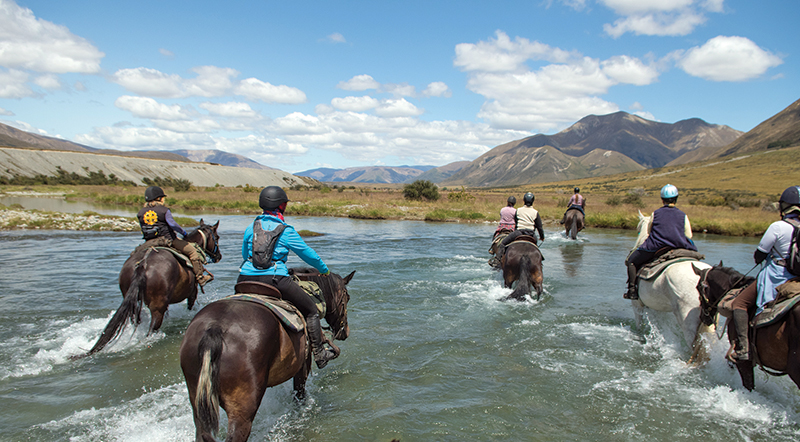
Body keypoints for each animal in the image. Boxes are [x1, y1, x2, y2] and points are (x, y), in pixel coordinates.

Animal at [74, 219, 221, 359]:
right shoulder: (192, 291)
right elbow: (190, 306)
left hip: (135, 302)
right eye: (217, 237)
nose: (218, 256)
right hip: (157, 307)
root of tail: (143, 263)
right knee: (151, 328)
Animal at [179, 268, 355, 442]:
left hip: (199, 404)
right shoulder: (303, 364)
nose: (345, 332)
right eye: (347, 297)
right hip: (243, 409)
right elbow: (299, 394)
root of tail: (214, 328)